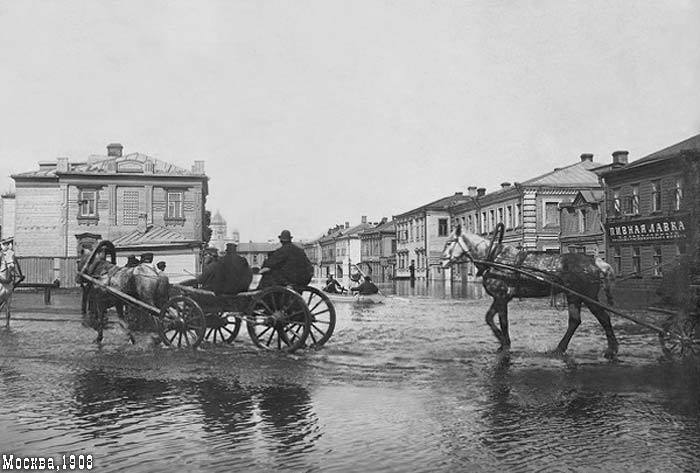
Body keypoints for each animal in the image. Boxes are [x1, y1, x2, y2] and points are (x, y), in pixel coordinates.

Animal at [442, 225, 616, 358]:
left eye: (450, 242)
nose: (442, 262)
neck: (494, 258)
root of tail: (595, 261)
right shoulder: (500, 298)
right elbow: (492, 319)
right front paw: (502, 344)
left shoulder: (501, 297)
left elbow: (500, 321)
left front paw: (505, 344)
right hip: (573, 297)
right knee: (575, 321)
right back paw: (560, 348)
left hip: (587, 297)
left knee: (604, 318)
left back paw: (611, 350)